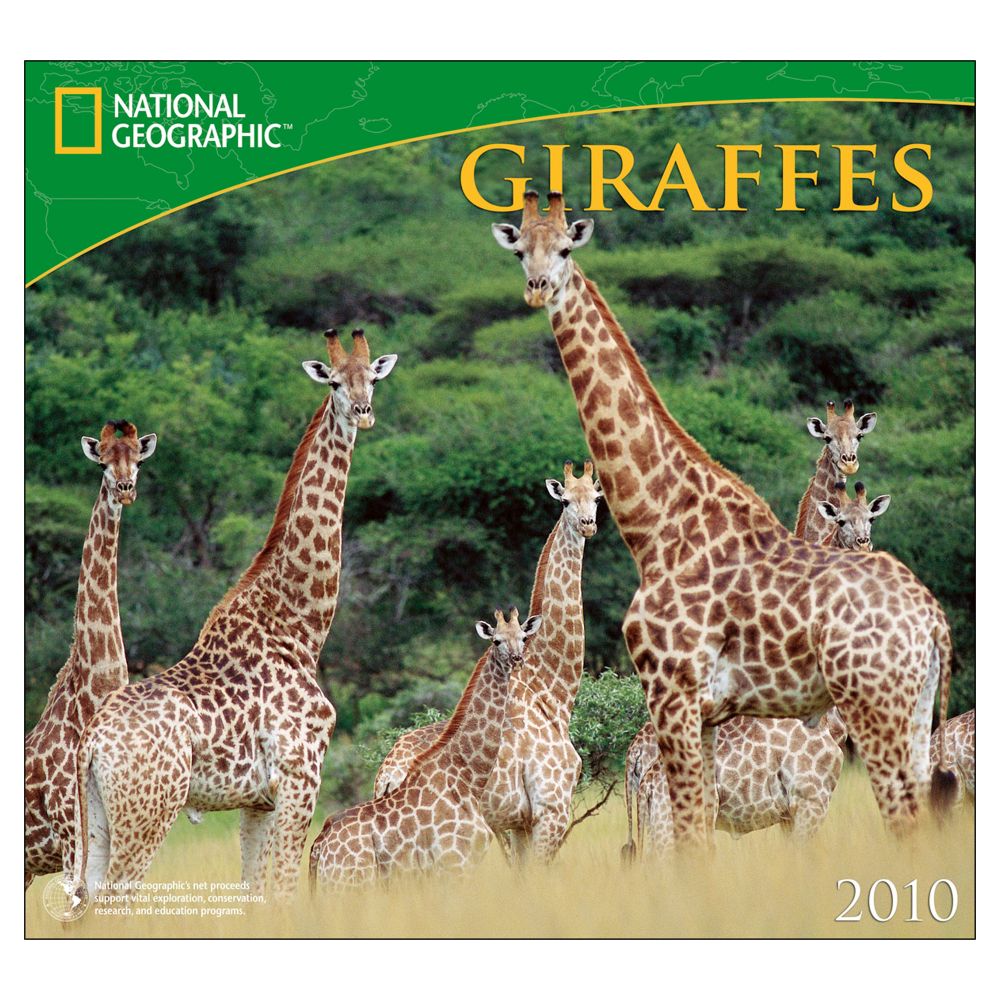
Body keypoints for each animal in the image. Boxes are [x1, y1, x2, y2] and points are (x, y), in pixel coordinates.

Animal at [68, 330, 397, 906]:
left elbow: (257, 895)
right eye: (334, 383)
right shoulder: (300, 776)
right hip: (149, 811)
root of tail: (91, 742)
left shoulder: (257, 801)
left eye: (372, 378)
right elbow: (285, 889)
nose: (364, 411)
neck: (299, 626)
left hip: (99, 821)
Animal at [309, 607, 542, 889]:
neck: (468, 777)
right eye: (496, 641)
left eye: (523, 637)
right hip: (349, 885)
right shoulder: (454, 863)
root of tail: (319, 847)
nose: (517, 659)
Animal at [373, 461, 603, 863]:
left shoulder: (519, 823)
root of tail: (387, 778)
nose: (588, 524)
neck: (550, 688)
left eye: (597, 498)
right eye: (565, 502)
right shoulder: (551, 809)